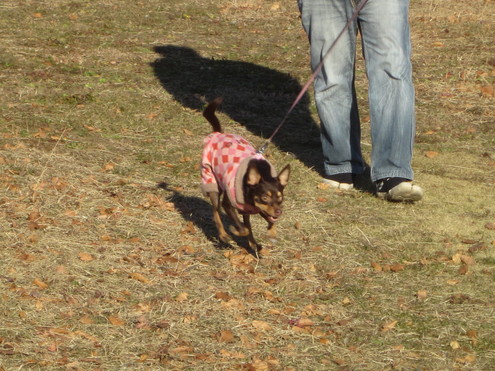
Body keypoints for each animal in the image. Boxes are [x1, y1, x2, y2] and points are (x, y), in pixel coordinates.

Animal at [200, 98, 288, 250]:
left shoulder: (258, 208)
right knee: (215, 210)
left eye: (280, 197)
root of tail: (218, 133)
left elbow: (264, 221)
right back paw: (224, 235)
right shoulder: (228, 205)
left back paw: (253, 243)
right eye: (265, 197)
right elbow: (243, 228)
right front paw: (235, 230)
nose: (279, 212)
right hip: (211, 181)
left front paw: (271, 232)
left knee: (246, 222)